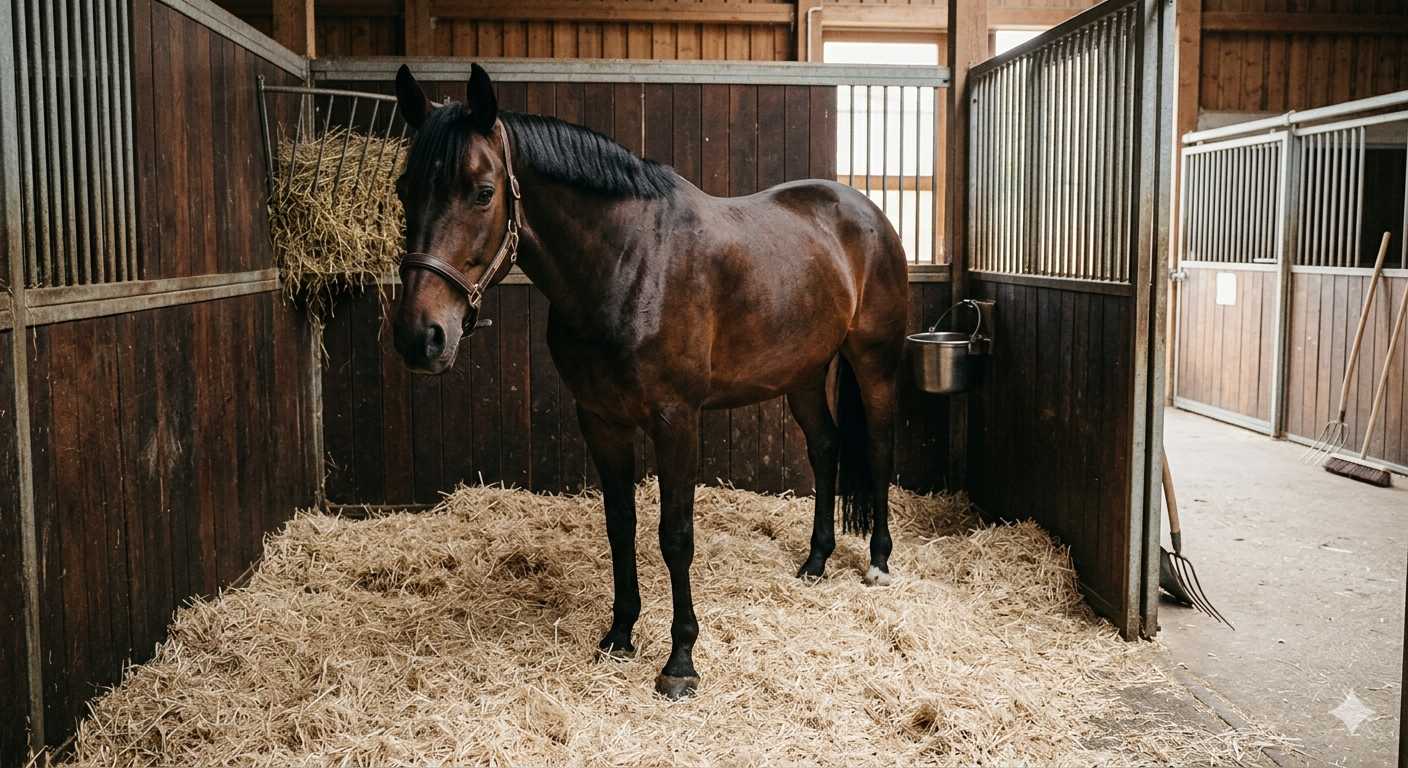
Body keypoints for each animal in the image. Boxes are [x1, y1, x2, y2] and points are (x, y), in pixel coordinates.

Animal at [391, 63, 910, 699]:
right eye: (404, 189)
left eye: (483, 192)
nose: (421, 337)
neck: (629, 263)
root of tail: (866, 212)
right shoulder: (600, 419)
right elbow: (621, 525)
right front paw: (619, 634)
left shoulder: (675, 419)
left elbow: (675, 534)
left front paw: (680, 660)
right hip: (803, 373)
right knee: (827, 447)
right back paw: (815, 562)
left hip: (873, 359)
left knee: (878, 447)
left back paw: (878, 562)